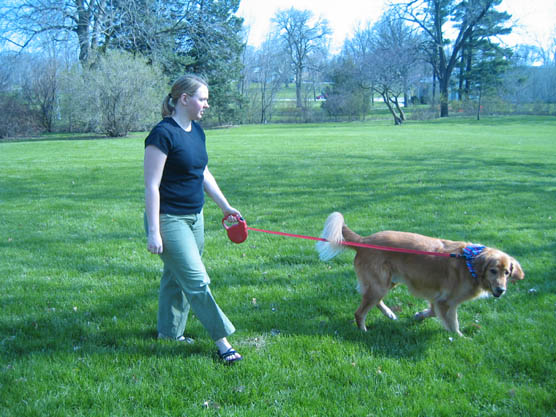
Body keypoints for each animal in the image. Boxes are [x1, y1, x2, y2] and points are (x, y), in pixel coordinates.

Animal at [318, 211, 524, 334]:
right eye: (493, 270)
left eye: (507, 272)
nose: (501, 290)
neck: (470, 264)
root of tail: (364, 240)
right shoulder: (446, 302)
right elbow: (453, 325)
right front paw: (461, 339)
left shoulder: (438, 299)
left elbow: (431, 312)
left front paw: (418, 315)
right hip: (379, 284)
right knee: (360, 312)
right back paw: (363, 331)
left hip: (387, 282)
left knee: (373, 301)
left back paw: (389, 314)